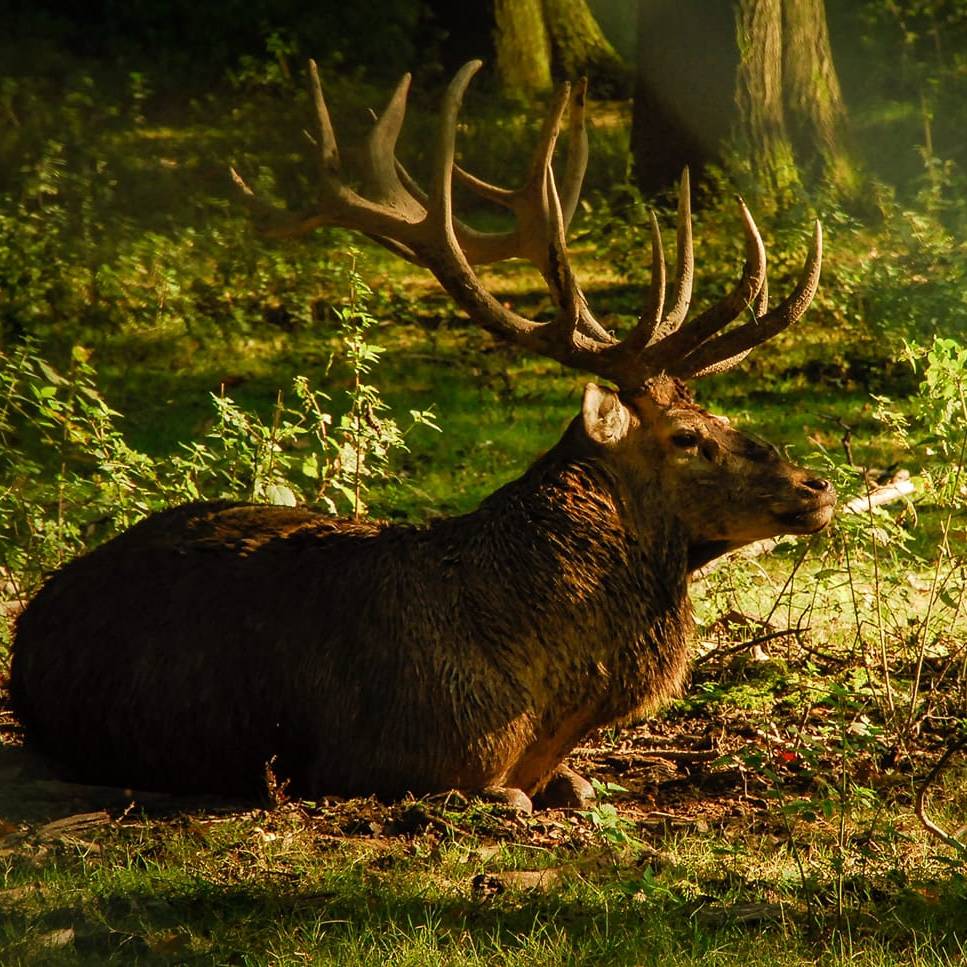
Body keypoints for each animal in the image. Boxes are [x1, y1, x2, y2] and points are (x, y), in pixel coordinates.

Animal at [10, 62, 835, 812]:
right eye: (687, 436)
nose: (815, 485)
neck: (544, 693)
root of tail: (30, 624)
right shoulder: (384, 758)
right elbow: (506, 796)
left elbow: (577, 782)